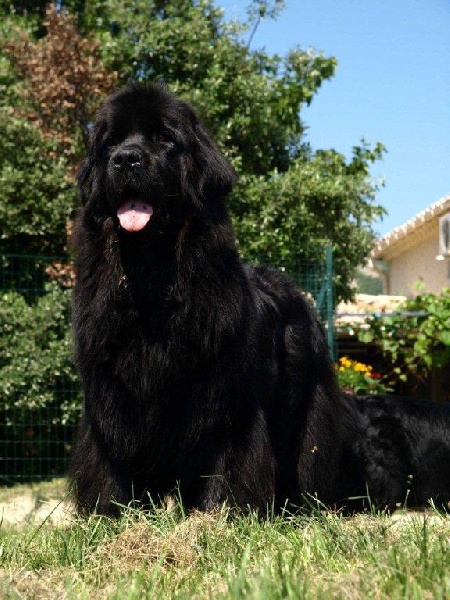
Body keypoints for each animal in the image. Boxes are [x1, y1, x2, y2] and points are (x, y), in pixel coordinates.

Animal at [69, 83, 345, 516]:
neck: (151, 283)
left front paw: (219, 517)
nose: (126, 158)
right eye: (110, 141)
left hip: (309, 404)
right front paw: (109, 516)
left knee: (307, 453)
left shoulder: (225, 402)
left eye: (164, 138)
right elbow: (109, 464)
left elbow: (227, 462)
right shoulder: (110, 398)